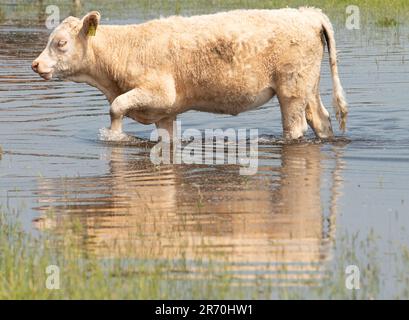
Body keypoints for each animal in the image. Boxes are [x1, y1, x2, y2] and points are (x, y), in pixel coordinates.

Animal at [31, 8, 348, 141]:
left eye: (61, 43)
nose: (35, 64)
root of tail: (307, 12)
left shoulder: (158, 91)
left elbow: (116, 107)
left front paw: (115, 135)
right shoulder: (164, 111)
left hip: (290, 90)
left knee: (296, 128)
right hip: (308, 86)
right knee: (321, 119)